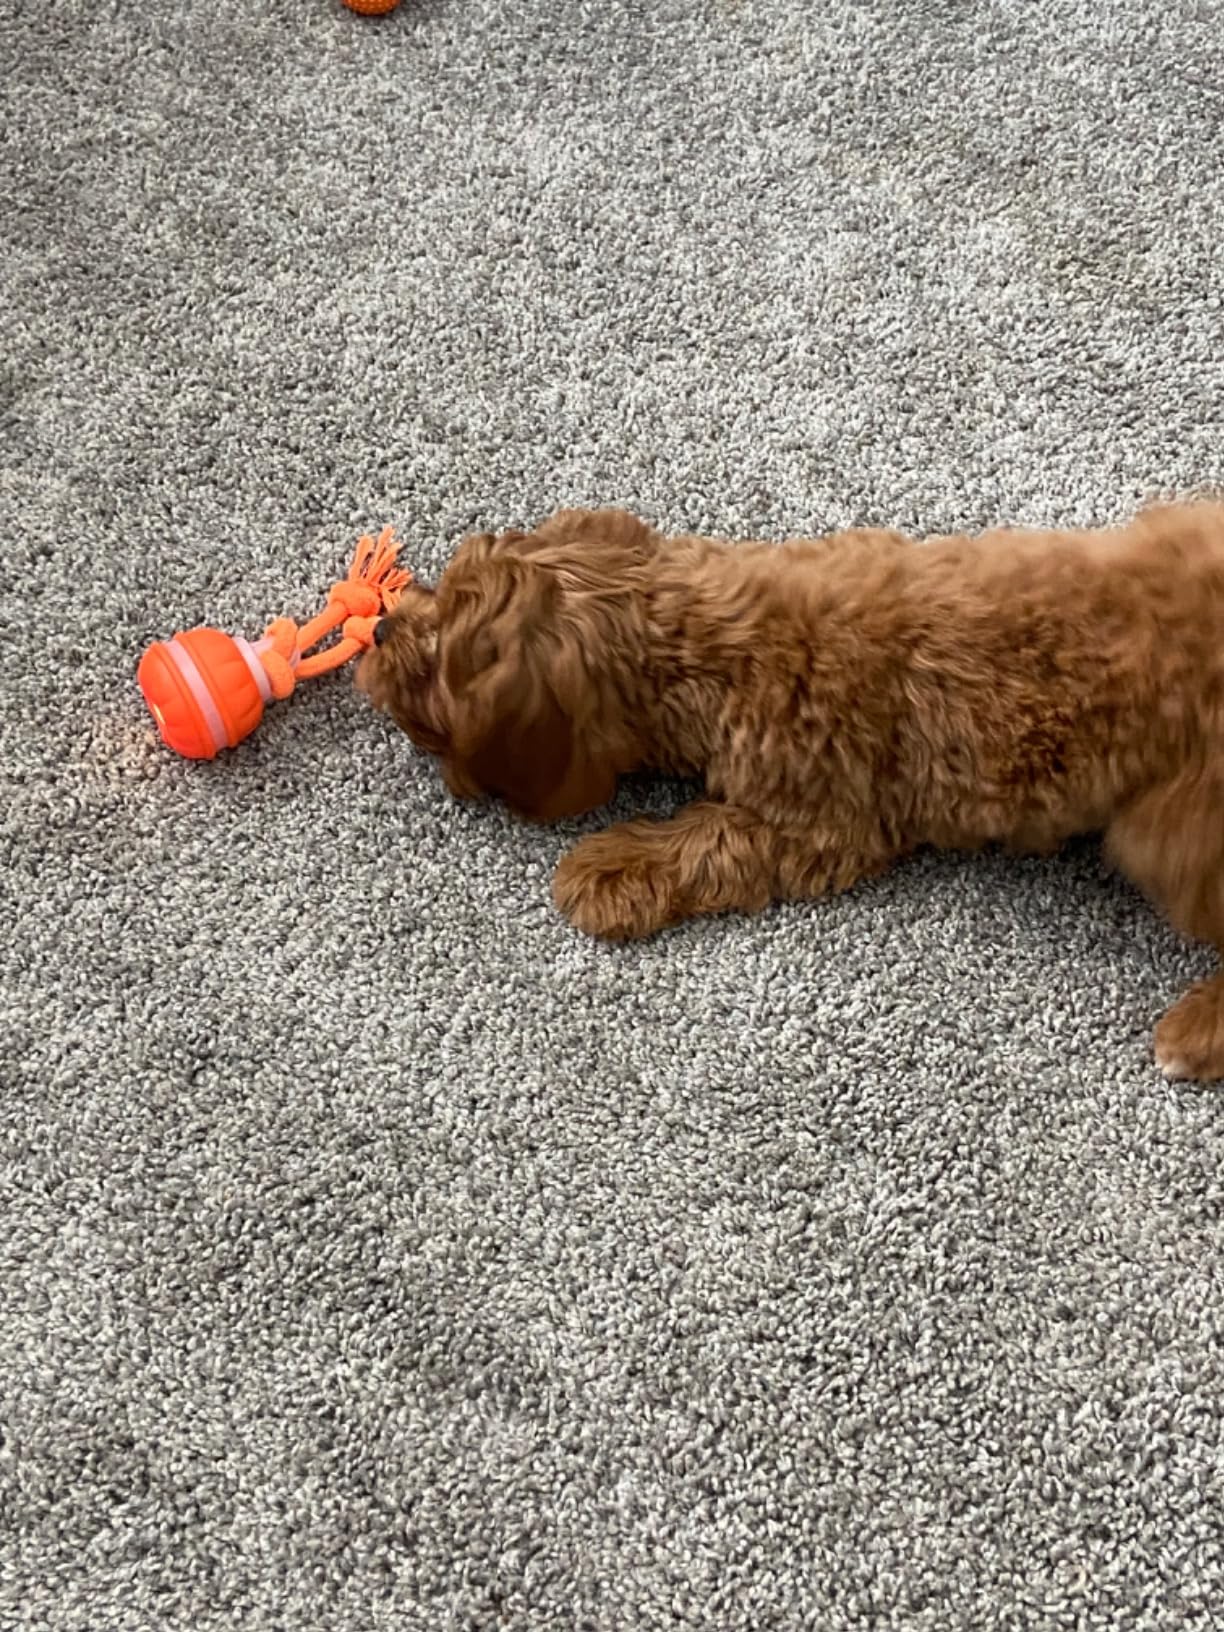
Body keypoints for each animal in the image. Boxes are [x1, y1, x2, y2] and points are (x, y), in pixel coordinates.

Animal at [357, 502, 1224, 1082]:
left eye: (440, 669)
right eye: (441, 585)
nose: (379, 630)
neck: (703, 637)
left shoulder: (821, 826)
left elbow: (708, 841)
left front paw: (610, 870)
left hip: (1170, 832)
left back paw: (1197, 1032)